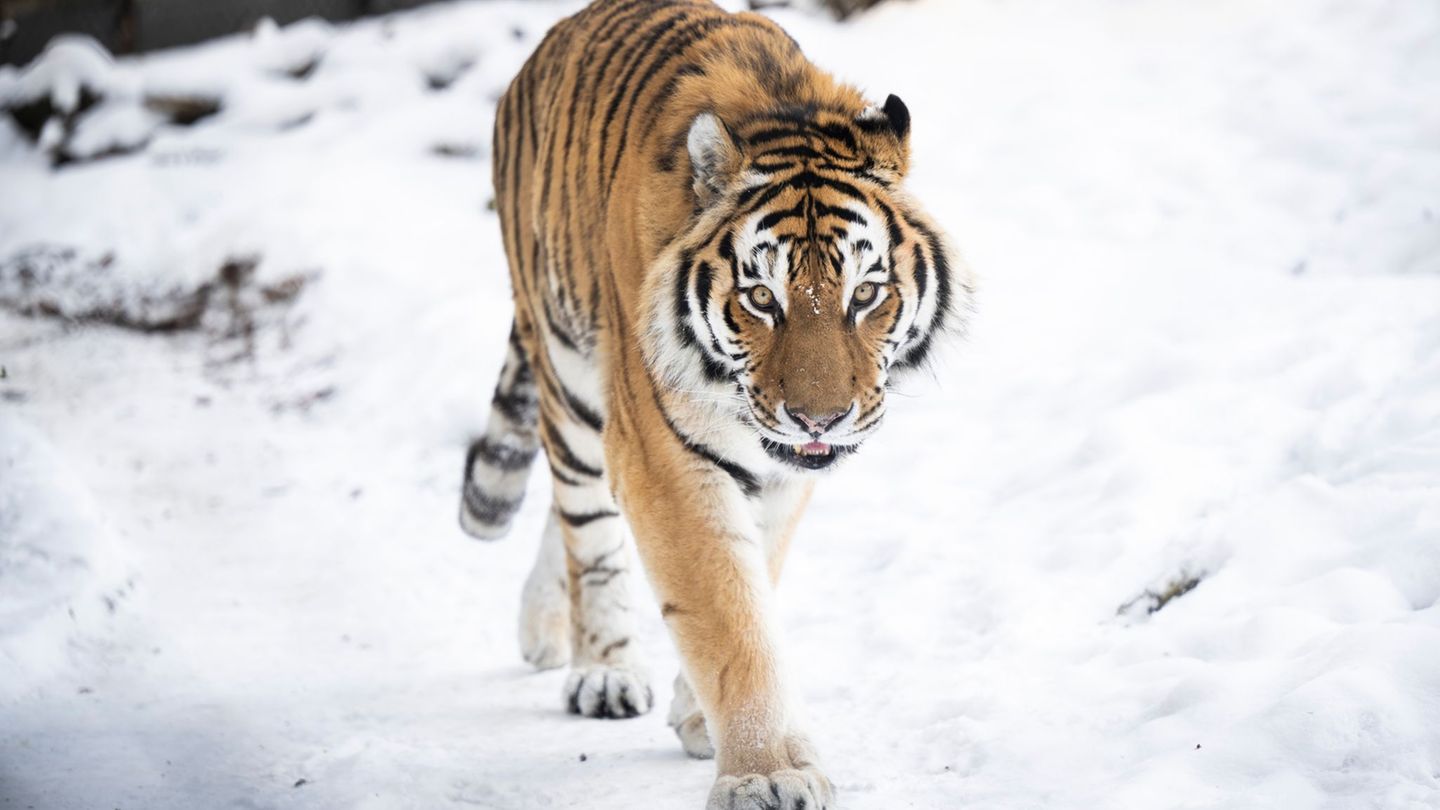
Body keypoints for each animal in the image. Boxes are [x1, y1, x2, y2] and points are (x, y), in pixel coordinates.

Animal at [458, 1, 971, 807]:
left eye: (865, 294)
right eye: (762, 298)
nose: (820, 420)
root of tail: (555, 34)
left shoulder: (780, 473)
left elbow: (753, 575)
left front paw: (699, 716)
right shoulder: (663, 453)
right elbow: (728, 614)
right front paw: (769, 771)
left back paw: (543, 628)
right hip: (570, 376)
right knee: (584, 520)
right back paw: (601, 669)